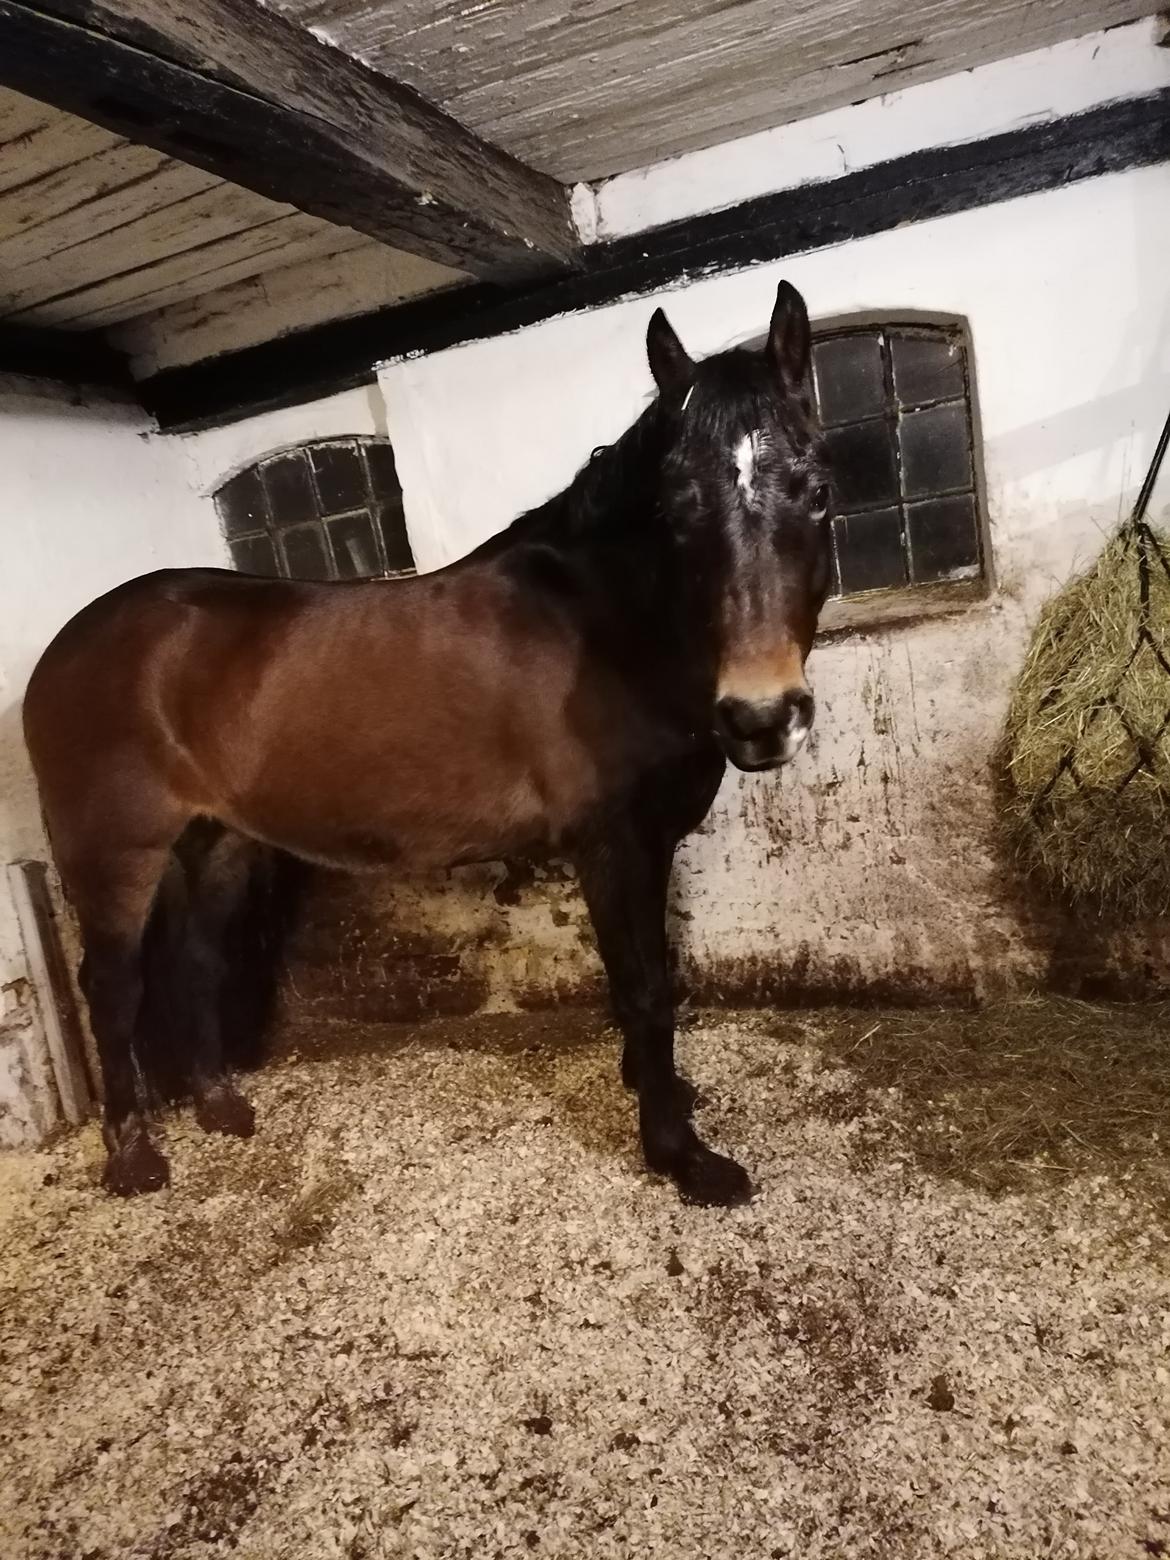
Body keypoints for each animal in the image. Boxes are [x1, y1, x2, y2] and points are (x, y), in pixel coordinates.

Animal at [22, 279, 834, 1205]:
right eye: (676, 512)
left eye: (816, 490)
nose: (761, 716)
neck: (605, 623)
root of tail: (68, 647)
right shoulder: (610, 844)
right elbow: (643, 989)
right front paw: (681, 1154)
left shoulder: (651, 840)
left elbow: (653, 977)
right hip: (115, 854)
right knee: (112, 988)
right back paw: (133, 1158)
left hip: (216, 843)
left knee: (193, 961)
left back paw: (221, 1107)